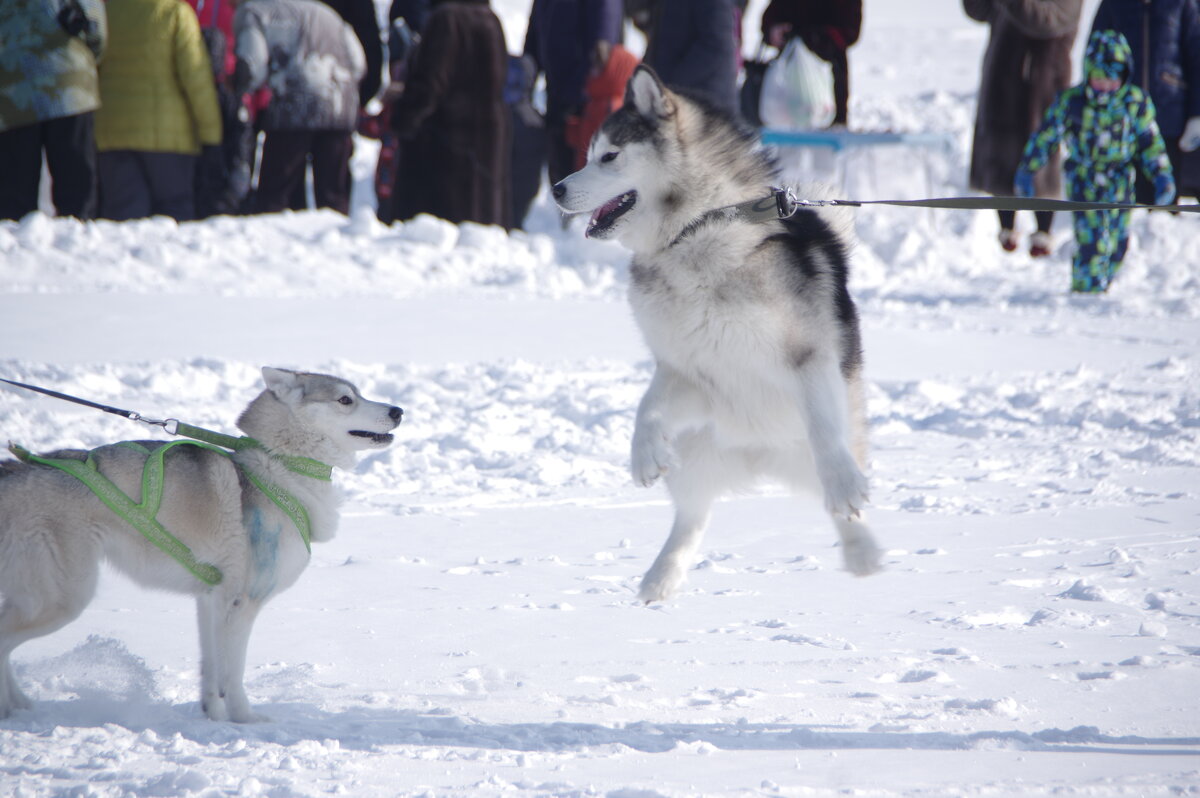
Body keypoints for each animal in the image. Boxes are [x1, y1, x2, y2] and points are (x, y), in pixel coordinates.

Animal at [0, 367, 403, 720]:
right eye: (345, 399)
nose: (398, 411)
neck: (277, 466)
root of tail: (15, 471)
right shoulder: (243, 602)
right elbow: (233, 673)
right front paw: (245, 719)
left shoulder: (211, 599)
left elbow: (212, 671)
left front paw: (214, 716)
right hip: (63, 597)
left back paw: (20, 706)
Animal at [552, 68, 883, 600]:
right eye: (588, 155)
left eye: (609, 156)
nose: (557, 190)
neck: (696, 230)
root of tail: (757, 456)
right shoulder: (689, 372)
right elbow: (648, 405)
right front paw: (643, 453)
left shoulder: (808, 356)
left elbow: (823, 430)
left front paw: (843, 485)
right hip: (696, 453)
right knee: (692, 516)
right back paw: (660, 577)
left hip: (808, 441)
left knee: (834, 487)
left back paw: (860, 547)